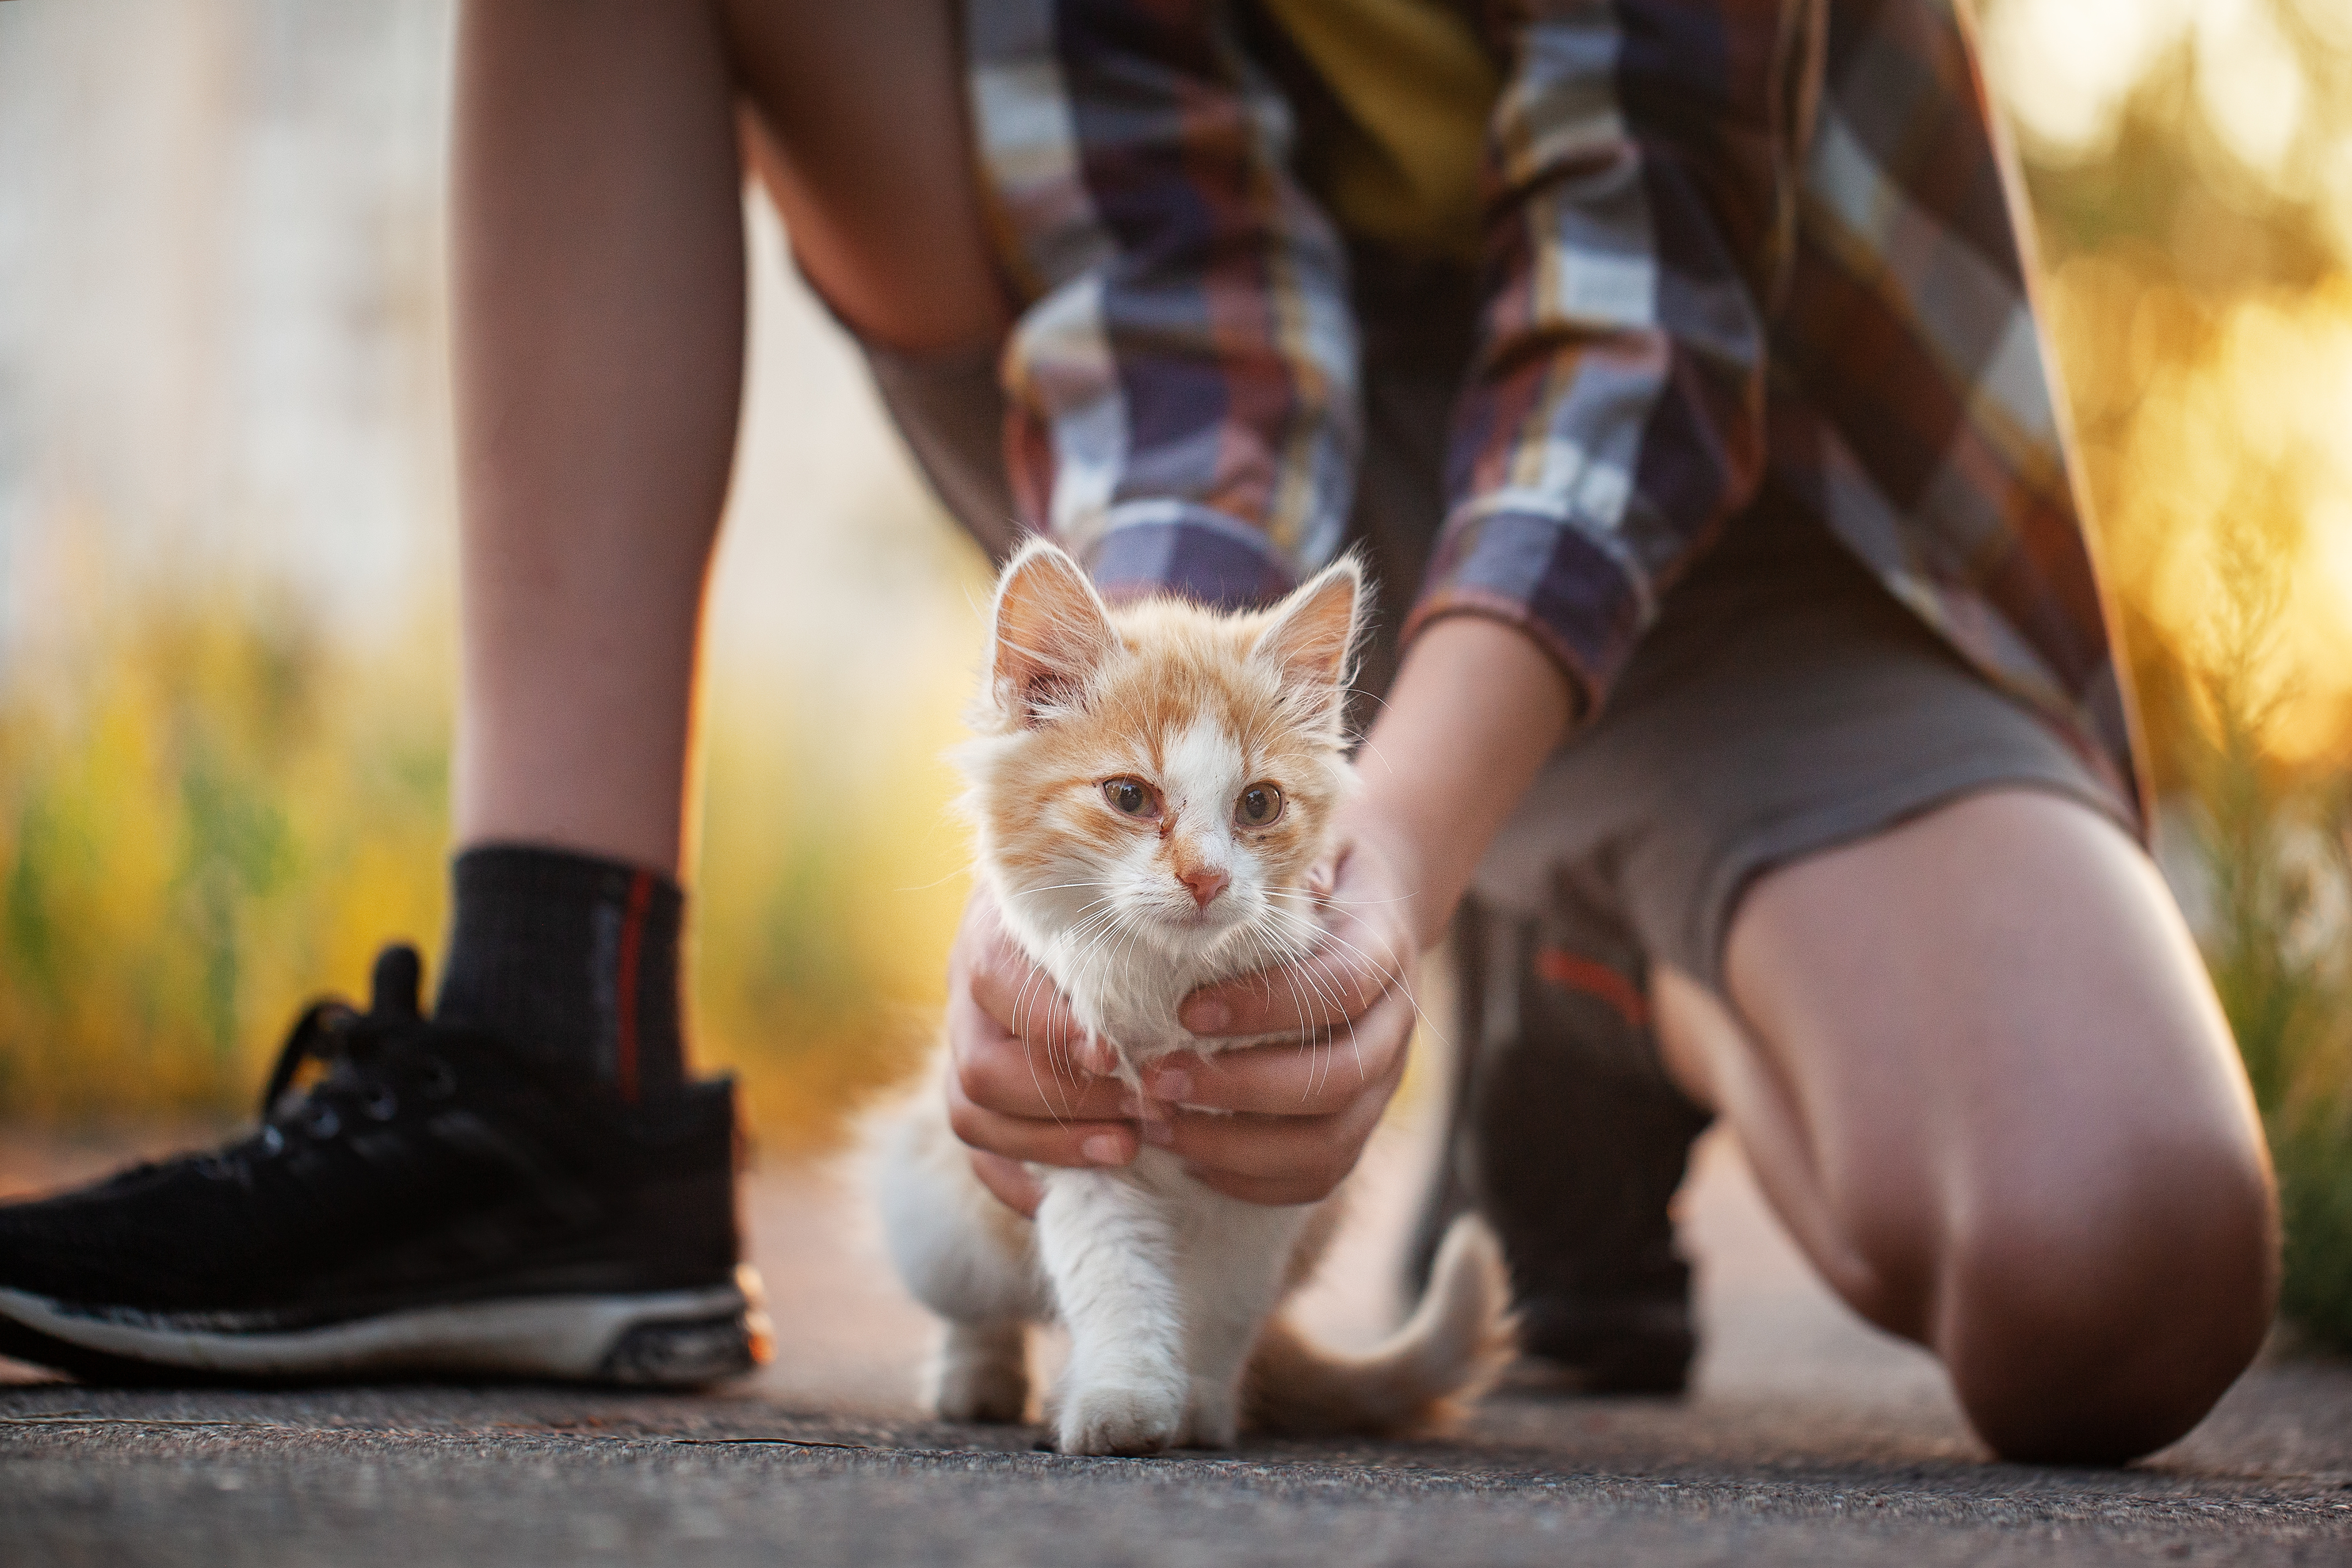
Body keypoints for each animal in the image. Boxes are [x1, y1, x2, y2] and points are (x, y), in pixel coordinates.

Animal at [875, 536, 1515, 1457]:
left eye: (1260, 804)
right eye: (1129, 796)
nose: (1207, 876)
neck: (1166, 995)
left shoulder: (1273, 1173)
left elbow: (1221, 1305)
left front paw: (1200, 1409)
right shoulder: (1081, 1143)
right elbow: (1116, 1283)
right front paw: (1125, 1399)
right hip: (938, 1213)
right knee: (976, 1305)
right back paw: (978, 1379)